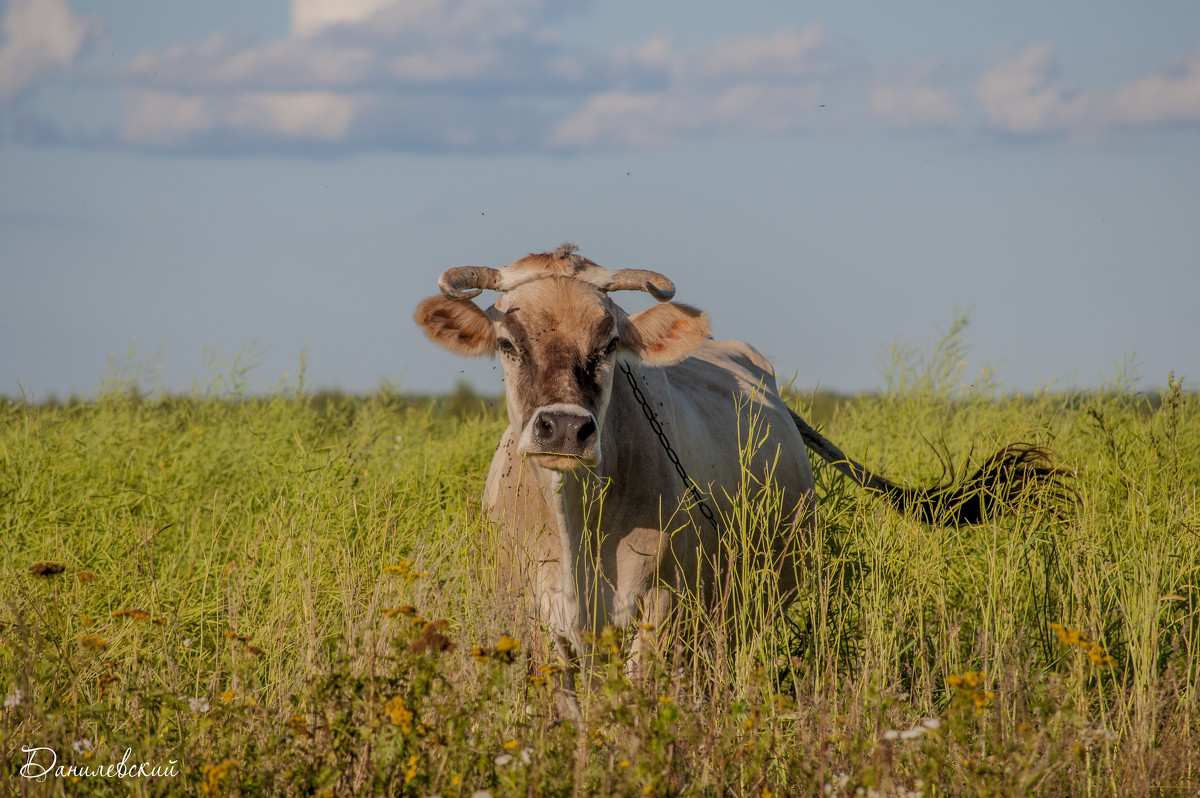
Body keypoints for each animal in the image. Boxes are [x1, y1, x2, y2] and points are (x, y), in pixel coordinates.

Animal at [415, 241, 1070, 710]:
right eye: (508, 342)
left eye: (609, 343)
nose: (564, 429)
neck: (577, 523)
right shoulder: (535, 626)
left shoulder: (662, 615)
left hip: (747, 609)